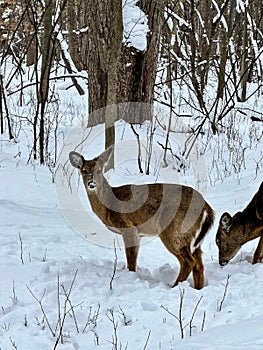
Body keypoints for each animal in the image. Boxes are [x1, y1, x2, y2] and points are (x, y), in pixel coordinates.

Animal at [69, 148, 216, 290]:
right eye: (84, 171)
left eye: (99, 171)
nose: (91, 183)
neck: (110, 205)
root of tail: (207, 208)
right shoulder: (138, 233)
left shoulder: (128, 227)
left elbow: (131, 261)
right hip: (193, 238)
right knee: (199, 265)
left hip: (172, 229)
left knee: (188, 262)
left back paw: (173, 287)